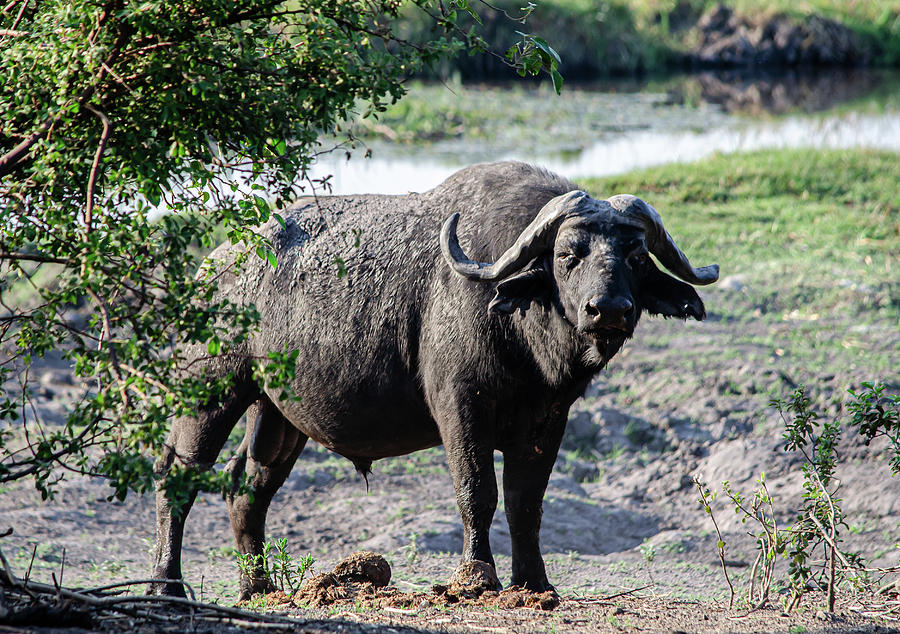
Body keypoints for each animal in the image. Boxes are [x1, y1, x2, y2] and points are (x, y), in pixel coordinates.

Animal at [153, 160, 716, 596]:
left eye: (636, 256)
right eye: (567, 254)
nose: (609, 310)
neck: (522, 333)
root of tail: (220, 263)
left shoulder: (547, 420)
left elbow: (526, 503)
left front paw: (534, 582)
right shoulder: (461, 407)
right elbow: (477, 492)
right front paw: (478, 577)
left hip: (276, 413)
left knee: (245, 487)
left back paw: (258, 587)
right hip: (210, 391)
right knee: (175, 474)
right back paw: (167, 584)